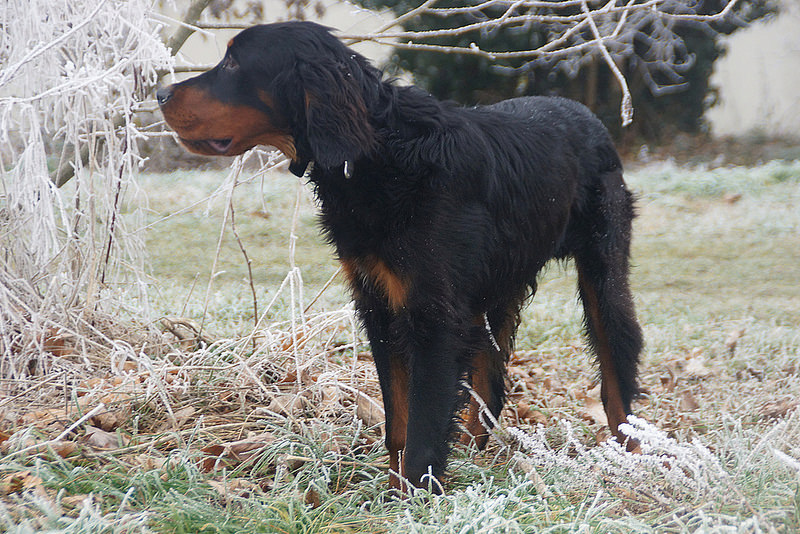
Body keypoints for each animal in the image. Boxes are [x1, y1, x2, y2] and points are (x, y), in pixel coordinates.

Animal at [158, 22, 644, 494]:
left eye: (234, 62)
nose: (160, 93)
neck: (382, 155)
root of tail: (587, 116)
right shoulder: (380, 306)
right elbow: (399, 420)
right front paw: (395, 491)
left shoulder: (432, 315)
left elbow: (424, 421)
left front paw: (418, 495)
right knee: (489, 378)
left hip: (602, 272)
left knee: (617, 361)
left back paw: (631, 458)